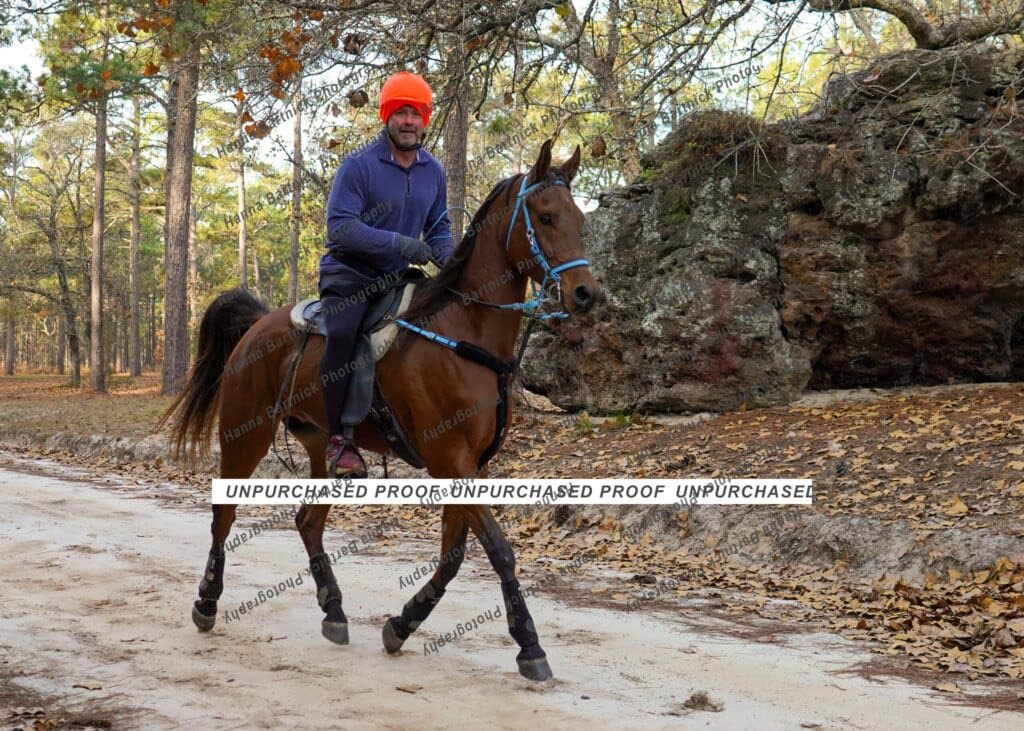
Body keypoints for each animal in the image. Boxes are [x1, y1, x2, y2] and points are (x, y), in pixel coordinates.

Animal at [160, 139, 598, 681]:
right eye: (545, 216)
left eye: (579, 218)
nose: (586, 294)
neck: (464, 330)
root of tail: (259, 324)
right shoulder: (450, 460)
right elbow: (498, 549)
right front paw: (529, 644)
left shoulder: (468, 464)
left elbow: (453, 554)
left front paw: (403, 623)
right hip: (245, 435)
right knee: (224, 514)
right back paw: (207, 600)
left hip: (319, 444)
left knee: (308, 520)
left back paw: (333, 608)